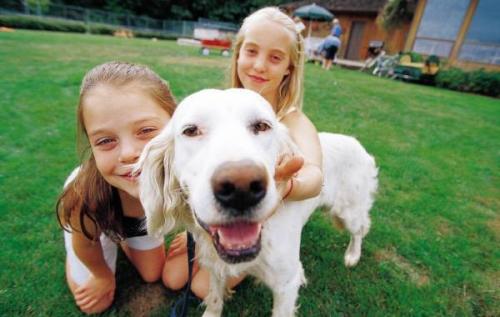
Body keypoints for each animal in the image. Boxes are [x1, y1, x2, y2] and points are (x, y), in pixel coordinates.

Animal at [135, 87, 376, 314]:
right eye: (191, 131)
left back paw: (352, 255)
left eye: (262, 126)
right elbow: (214, 298)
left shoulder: (287, 284)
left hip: (348, 212)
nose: (241, 189)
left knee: (360, 230)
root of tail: (355, 142)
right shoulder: (215, 265)